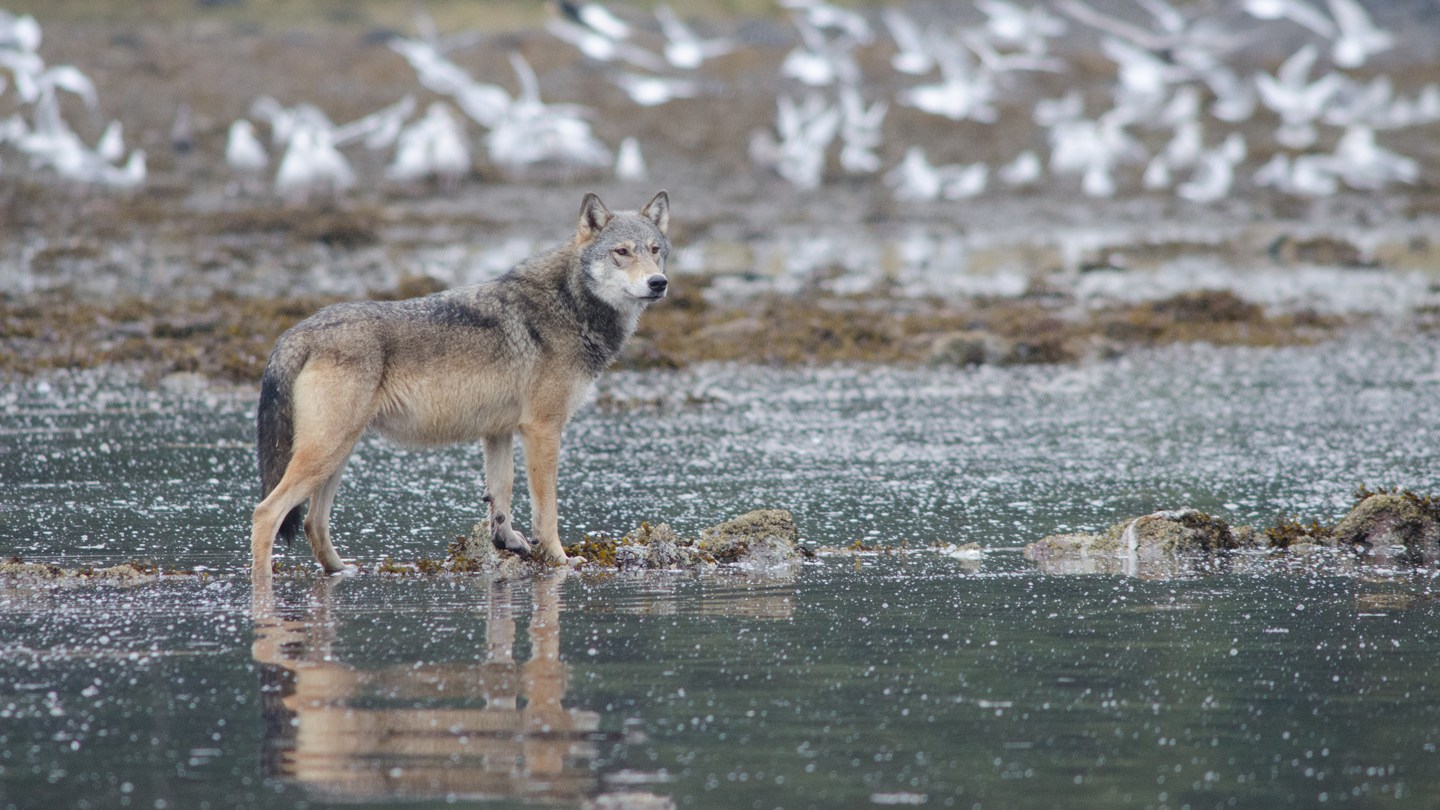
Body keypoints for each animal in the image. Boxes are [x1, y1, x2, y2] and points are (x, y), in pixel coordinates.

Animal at [250, 191, 671, 578]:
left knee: (312, 523)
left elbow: (501, 495)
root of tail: (298, 331)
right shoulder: (542, 429)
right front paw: (559, 558)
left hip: (337, 456)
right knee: (265, 513)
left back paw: (344, 571)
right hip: (325, 453)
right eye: (621, 252)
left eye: (655, 251)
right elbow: (546, 508)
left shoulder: (499, 431)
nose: (658, 282)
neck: (569, 303)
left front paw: (507, 541)